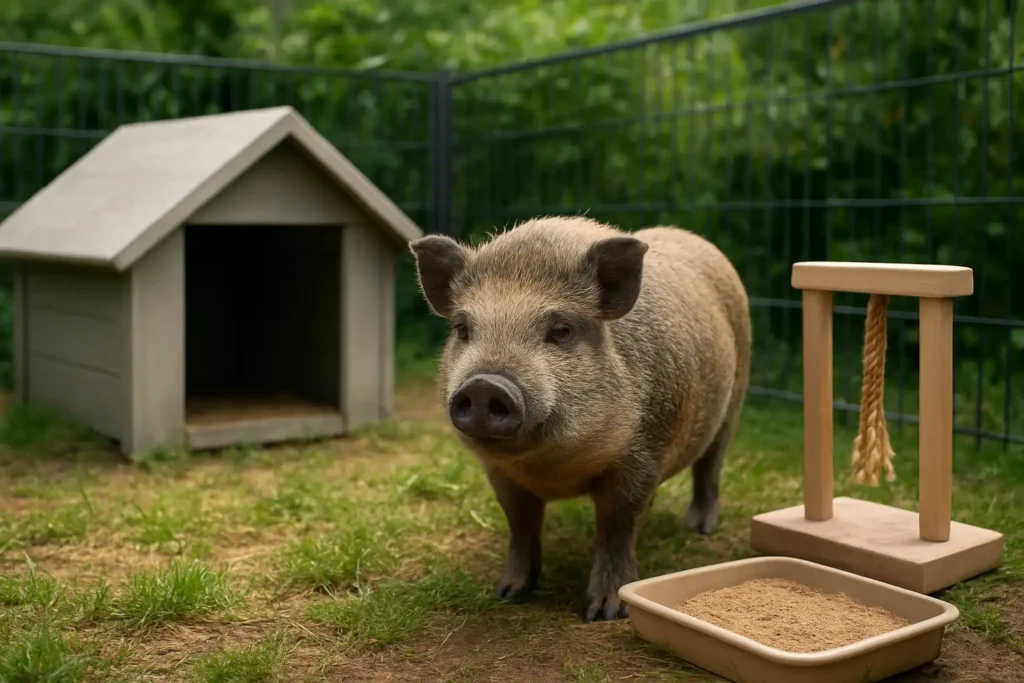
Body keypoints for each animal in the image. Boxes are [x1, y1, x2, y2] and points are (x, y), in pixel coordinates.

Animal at [408, 215, 751, 622]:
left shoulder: (642, 454)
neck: (550, 468)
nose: (483, 385)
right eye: (462, 329)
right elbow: (520, 524)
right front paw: (507, 593)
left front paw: (603, 613)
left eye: (561, 331)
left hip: (735, 400)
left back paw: (698, 528)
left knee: (710, 466)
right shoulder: (499, 474)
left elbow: (617, 525)